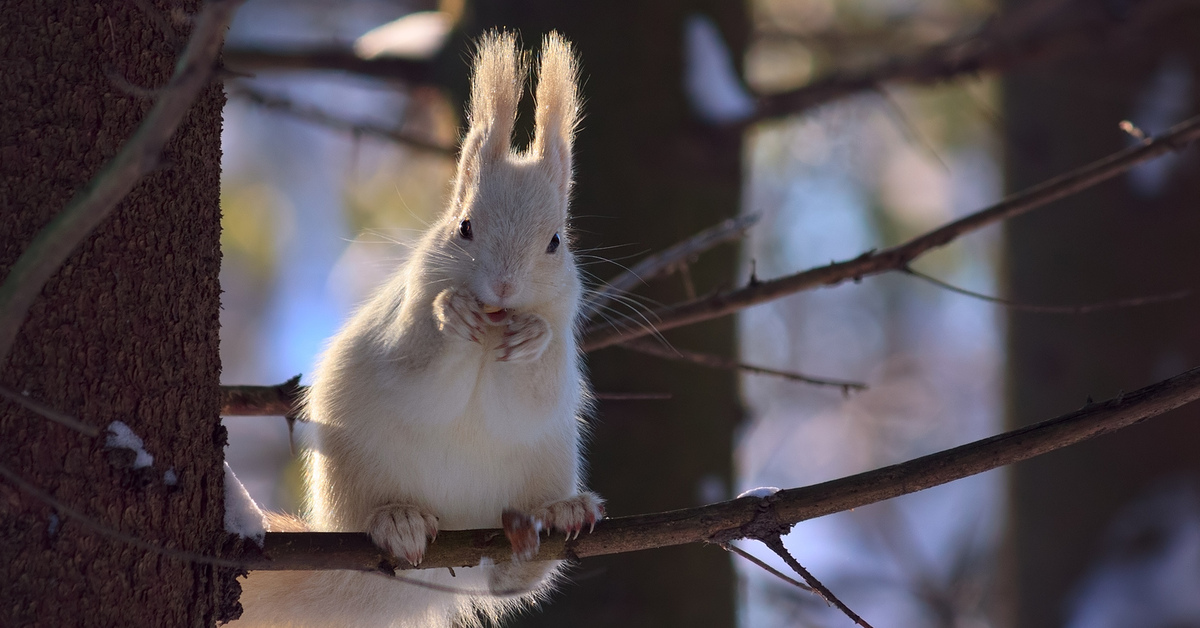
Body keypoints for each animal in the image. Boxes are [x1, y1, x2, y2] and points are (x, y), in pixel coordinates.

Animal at [231, 31, 609, 624]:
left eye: (555, 242)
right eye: (464, 227)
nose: (503, 288)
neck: (488, 339)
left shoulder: (562, 330)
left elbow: (533, 397)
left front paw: (532, 337)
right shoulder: (402, 325)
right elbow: (417, 373)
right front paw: (451, 314)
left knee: (508, 580)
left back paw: (560, 515)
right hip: (356, 478)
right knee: (381, 518)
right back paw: (398, 520)